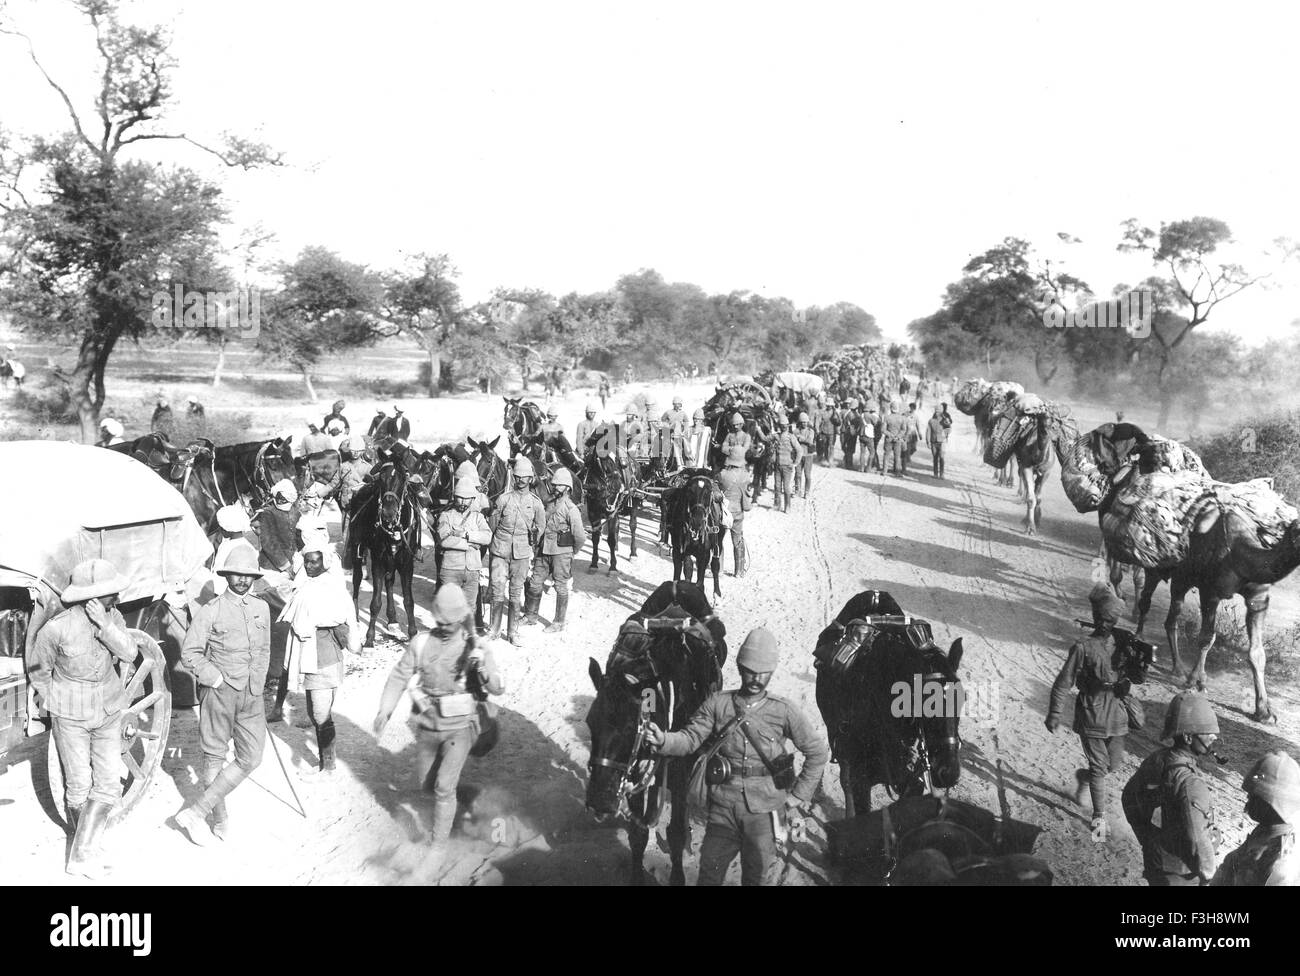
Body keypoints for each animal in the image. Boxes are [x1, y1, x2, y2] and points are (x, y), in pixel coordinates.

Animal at [345, 462, 431, 644]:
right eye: (381, 480)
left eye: (403, 479)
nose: (388, 513)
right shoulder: (378, 559)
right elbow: (375, 602)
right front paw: (369, 638)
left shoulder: (406, 562)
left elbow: (408, 601)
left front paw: (413, 633)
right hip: (358, 548)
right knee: (357, 579)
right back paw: (356, 616)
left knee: (389, 582)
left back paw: (392, 621)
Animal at [585, 426, 639, 571]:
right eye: (603, 456)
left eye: (619, 460)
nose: (618, 484)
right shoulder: (592, 511)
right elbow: (595, 537)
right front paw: (593, 563)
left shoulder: (611, 511)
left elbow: (610, 539)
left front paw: (613, 567)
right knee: (618, 527)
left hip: (634, 502)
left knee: (632, 526)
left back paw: (633, 553)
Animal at [587, 584, 728, 888]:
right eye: (590, 723)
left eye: (632, 727)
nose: (600, 800)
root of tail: (678, 586)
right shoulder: (633, 769)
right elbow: (638, 834)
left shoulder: (680, 768)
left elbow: (674, 832)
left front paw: (677, 875)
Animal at [665, 467, 728, 600]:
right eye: (690, 491)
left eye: (708, 492)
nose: (697, 520)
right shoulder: (678, 551)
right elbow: (679, 575)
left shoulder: (704, 554)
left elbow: (700, 583)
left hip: (718, 542)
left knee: (715, 565)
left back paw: (717, 594)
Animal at [816, 592, 961, 821]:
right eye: (925, 701)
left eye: (962, 699)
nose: (949, 772)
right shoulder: (860, 777)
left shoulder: (908, 779)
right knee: (845, 780)